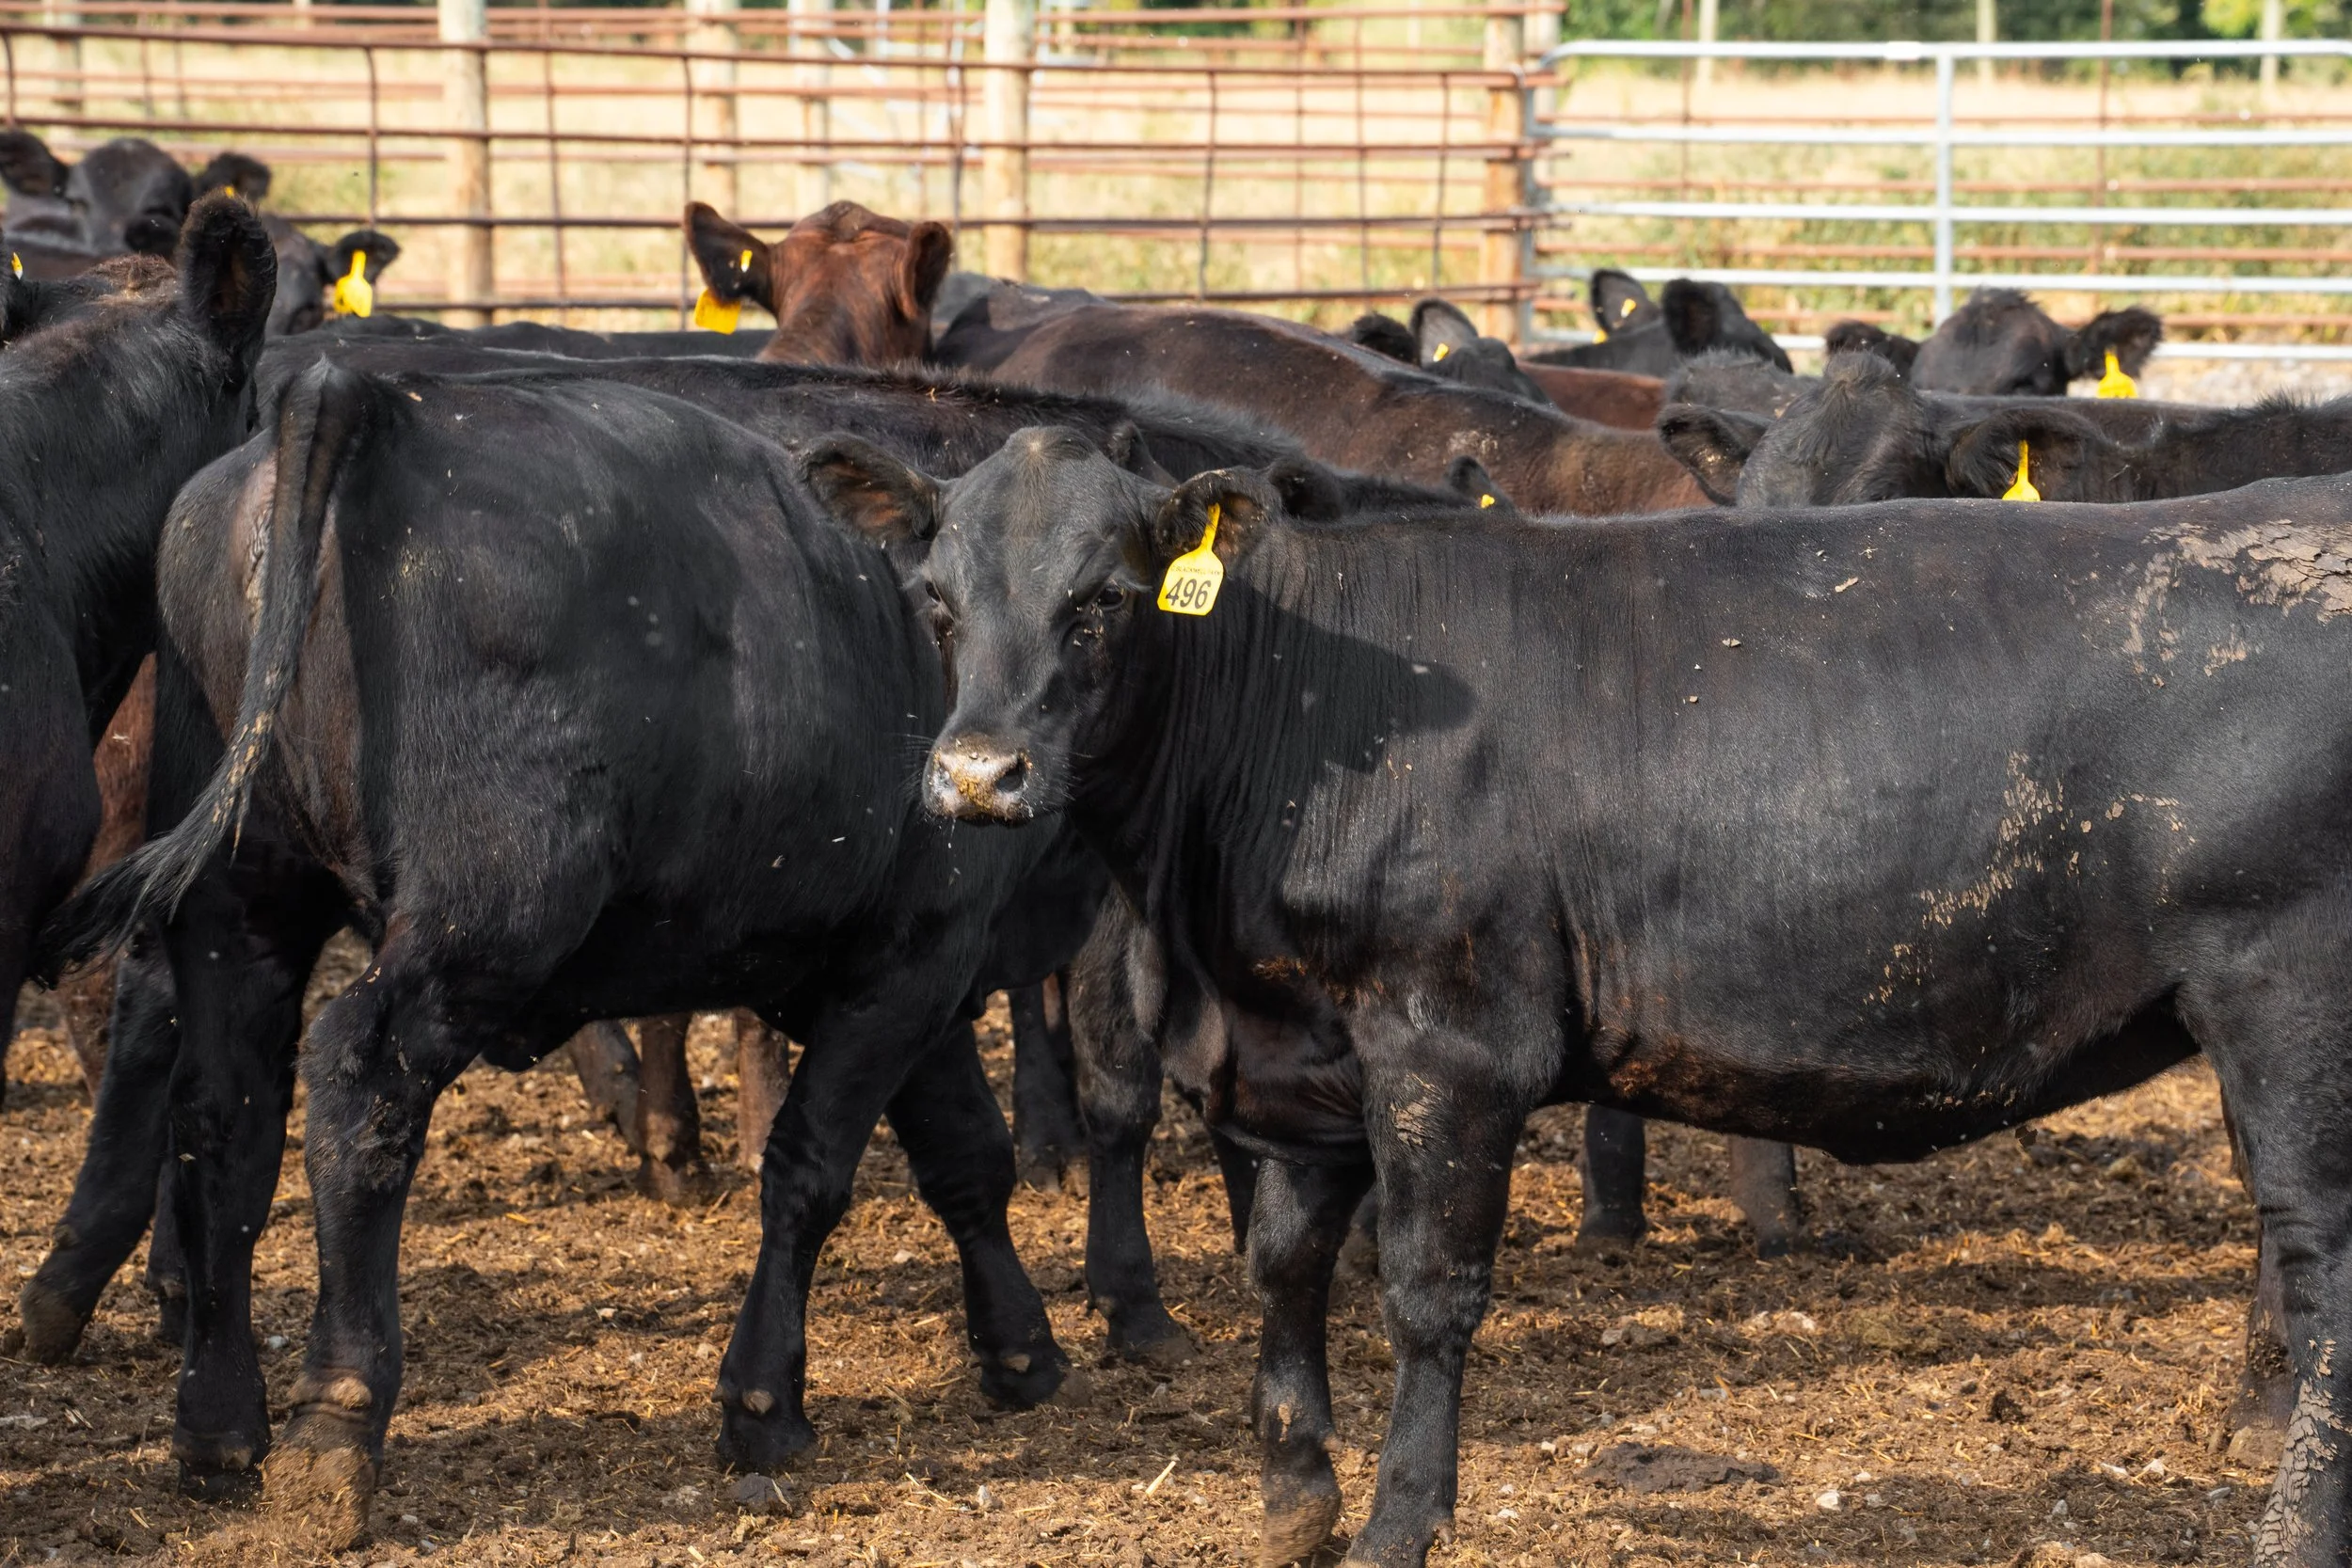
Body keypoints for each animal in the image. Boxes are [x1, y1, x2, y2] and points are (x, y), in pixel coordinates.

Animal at [801, 422, 2352, 1568]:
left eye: (1105, 600)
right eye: (936, 602)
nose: (978, 775)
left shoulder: (1450, 1047)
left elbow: (1424, 1292)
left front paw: (1396, 1521)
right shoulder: (1303, 1053)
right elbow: (1284, 1261)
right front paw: (1295, 1495)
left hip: (2288, 1002)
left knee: (2321, 1262)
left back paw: (2291, 1528)